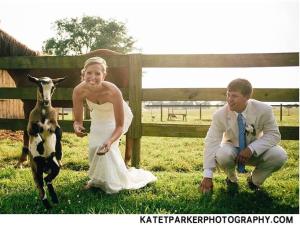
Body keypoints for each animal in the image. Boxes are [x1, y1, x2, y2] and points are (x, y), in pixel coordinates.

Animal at [26, 74, 65, 209]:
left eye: (52, 87)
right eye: (39, 86)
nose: (46, 101)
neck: (43, 114)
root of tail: (46, 167)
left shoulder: (55, 126)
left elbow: (58, 135)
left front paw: (58, 152)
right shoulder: (30, 127)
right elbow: (35, 134)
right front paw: (39, 147)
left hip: (54, 166)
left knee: (48, 179)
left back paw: (55, 199)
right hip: (35, 168)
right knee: (40, 186)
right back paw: (48, 205)